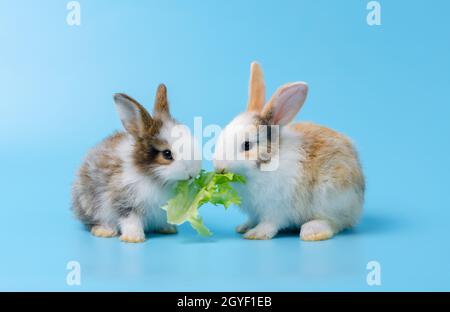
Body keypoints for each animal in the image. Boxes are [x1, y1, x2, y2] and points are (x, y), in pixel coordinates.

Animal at [71, 84, 200, 243]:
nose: (192, 173)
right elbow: (130, 219)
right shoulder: (124, 201)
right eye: (167, 154)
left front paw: (168, 229)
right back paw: (104, 231)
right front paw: (134, 238)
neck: (156, 179)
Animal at [213, 62, 364, 240]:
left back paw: (312, 231)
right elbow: (253, 219)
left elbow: (269, 223)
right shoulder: (254, 211)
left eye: (247, 145)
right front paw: (244, 227)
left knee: (335, 222)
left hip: (331, 196)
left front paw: (256, 234)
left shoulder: (275, 208)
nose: (219, 168)